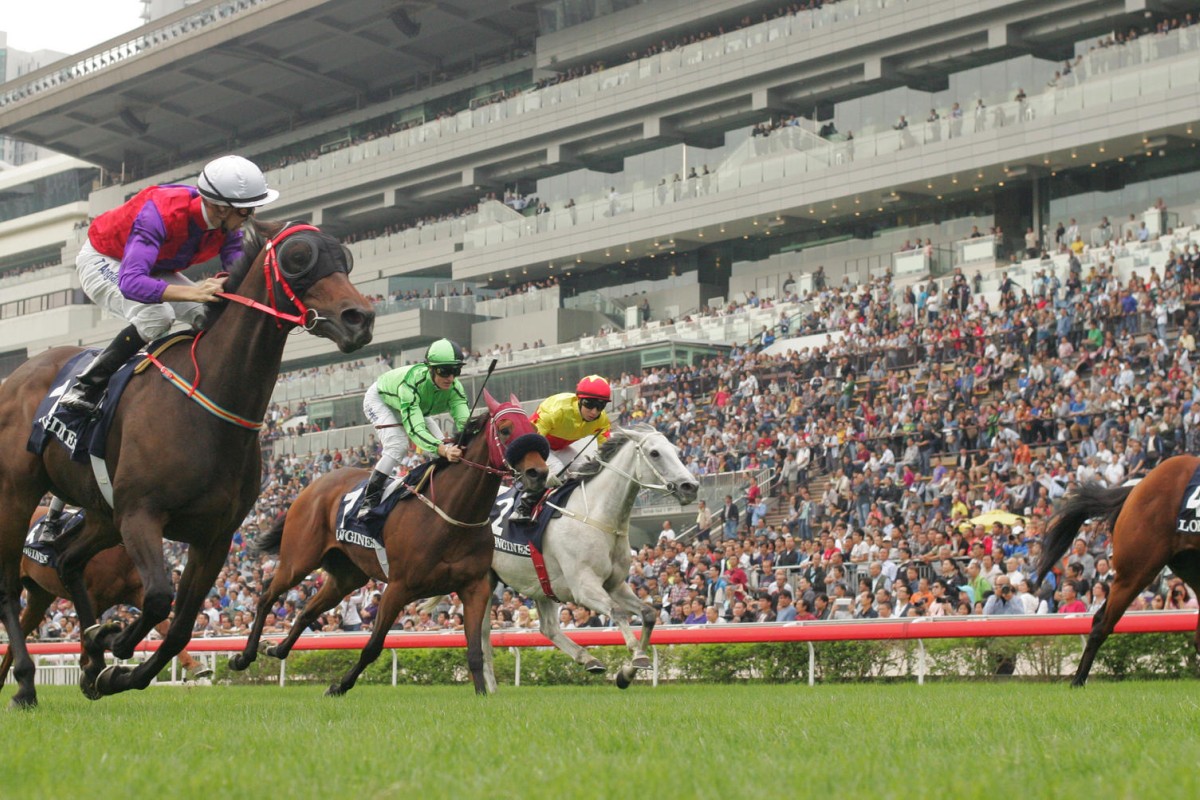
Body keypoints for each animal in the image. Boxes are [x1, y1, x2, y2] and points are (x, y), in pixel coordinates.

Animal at [0, 506, 211, 690]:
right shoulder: (90, 596)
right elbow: (87, 637)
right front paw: (91, 673)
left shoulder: (137, 593)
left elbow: (163, 625)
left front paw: (195, 666)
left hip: (39, 597)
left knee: (15, 639)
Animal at [225, 393, 549, 695]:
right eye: (506, 430)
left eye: (532, 427)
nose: (539, 473)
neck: (453, 514)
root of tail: (312, 486)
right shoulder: (398, 587)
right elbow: (373, 647)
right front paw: (339, 686)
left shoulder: (475, 587)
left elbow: (475, 651)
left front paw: (482, 694)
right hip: (299, 559)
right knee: (267, 595)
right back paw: (243, 657)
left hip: (347, 576)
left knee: (307, 610)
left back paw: (276, 649)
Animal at [482, 429, 700, 690]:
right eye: (655, 453)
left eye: (676, 451)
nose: (690, 486)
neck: (598, 516)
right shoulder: (583, 587)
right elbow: (617, 612)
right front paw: (637, 656)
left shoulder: (615, 585)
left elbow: (648, 613)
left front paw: (626, 673)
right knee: (482, 634)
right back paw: (490, 686)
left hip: (538, 584)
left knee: (548, 628)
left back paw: (588, 659)